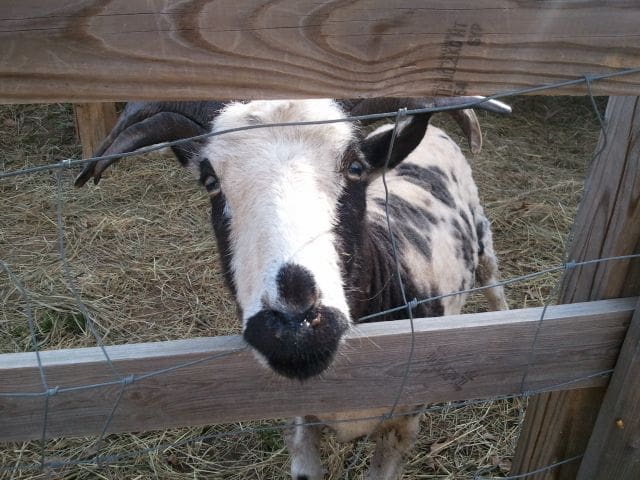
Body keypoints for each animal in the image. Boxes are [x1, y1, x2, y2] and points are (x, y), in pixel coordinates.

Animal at [75, 97, 508, 480]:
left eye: (355, 167)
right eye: (210, 180)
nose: (294, 324)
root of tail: (431, 129)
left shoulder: (402, 424)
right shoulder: (298, 418)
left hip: (483, 239)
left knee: (495, 287)